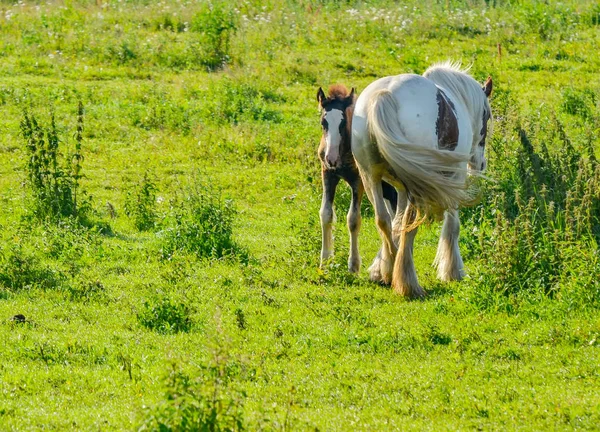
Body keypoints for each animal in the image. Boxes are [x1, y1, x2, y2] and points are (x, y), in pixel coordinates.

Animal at [314, 84, 398, 272]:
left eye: (343, 122)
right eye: (323, 122)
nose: (331, 158)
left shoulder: (357, 181)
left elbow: (353, 219)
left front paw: (353, 265)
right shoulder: (328, 174)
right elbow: (325, 214)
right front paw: (324, 262)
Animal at [352, 62, 492, 296]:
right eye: (487, 117)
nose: (480, 164)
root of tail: (385, 95)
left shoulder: (400, 187)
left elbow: (395, 221)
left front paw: (379, 269)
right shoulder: (454, 177)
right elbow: (452, 226)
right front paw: (453, 271)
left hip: (370, 177)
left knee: (383, 220)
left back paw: (390, 271)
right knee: (410, 224)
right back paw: (408, 283)